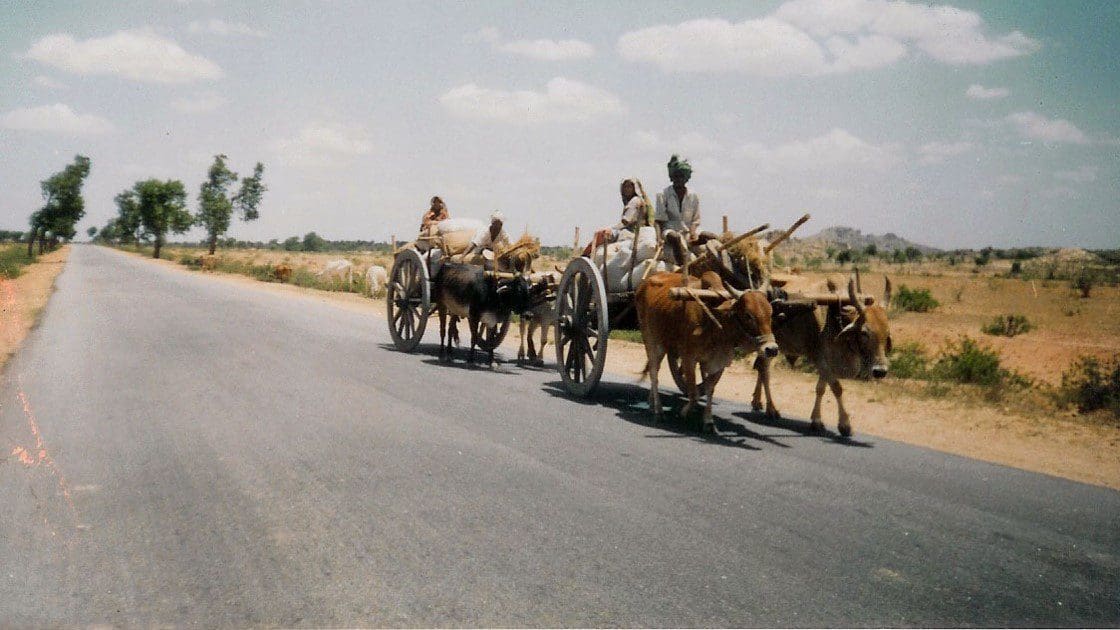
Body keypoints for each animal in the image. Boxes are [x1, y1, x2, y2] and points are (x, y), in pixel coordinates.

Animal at [640, 270, 779, 430]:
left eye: (771, 313)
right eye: (748, 315)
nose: (771, 349)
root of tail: (646, 280)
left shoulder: (719, 362)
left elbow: (709, 389)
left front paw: (708, 421)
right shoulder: (689, 358)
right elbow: (693, 393)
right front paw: (684, 412)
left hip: (664, 344)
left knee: (654, 370)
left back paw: (651, 404)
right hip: (651, 340)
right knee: (654, 373)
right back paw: (658, 411)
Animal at [752, 274, 891, 437]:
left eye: (886, 332)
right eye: (864, 332)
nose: (880, 371)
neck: (836, 319)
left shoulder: (825, 362)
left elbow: (821, 388)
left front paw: (817, 420)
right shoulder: (820, 359)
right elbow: (836, 388)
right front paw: (844, 424)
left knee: (761, 369)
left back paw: (757, 402)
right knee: (765, 373)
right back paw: (771, 409)